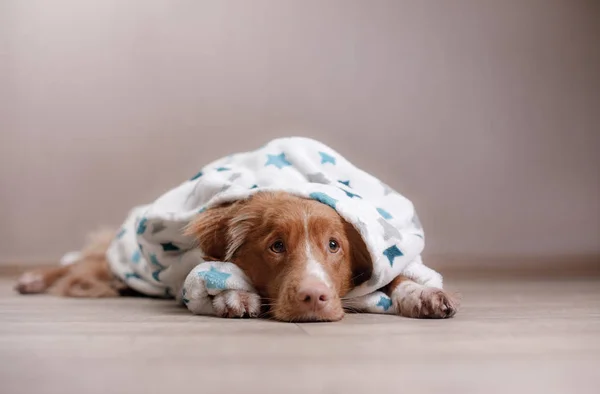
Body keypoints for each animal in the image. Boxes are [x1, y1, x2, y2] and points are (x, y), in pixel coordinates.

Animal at [14, 192, 458, 324]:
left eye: (335, 245)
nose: (314, 297)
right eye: (276, 246)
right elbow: (217, 270)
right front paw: (233, 295)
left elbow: (398, 277)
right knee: (78, 264)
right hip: (120, 260)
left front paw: (422, 295)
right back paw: (32, 278)